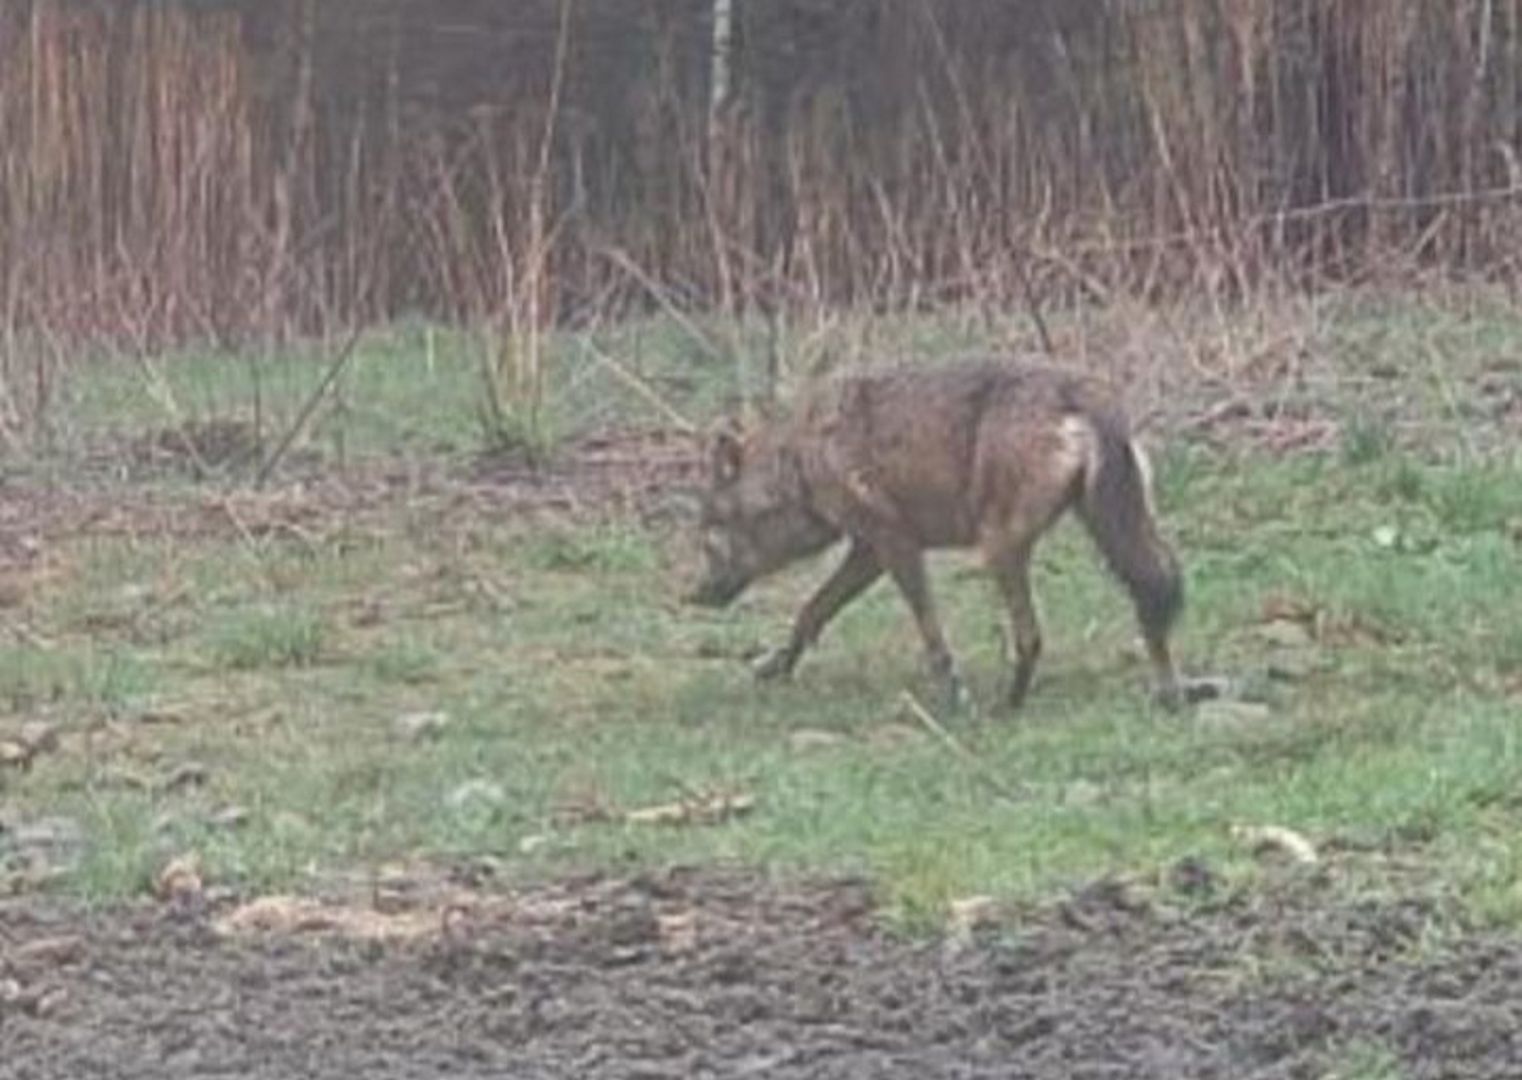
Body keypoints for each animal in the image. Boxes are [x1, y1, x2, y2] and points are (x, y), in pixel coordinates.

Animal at [681, 358, 1187, 714]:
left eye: (708, 532)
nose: (693, 595)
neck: (801, 461)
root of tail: (1080, 392)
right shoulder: (868, 552)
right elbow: (811, 613)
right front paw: (776, 667)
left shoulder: (896, 545)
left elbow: (933, 637)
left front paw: (956, 697)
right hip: (1116, 536)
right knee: (1157, 594)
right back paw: (1169, 692)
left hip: (1000, 549)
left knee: (1031, 636)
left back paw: (1005, 707)